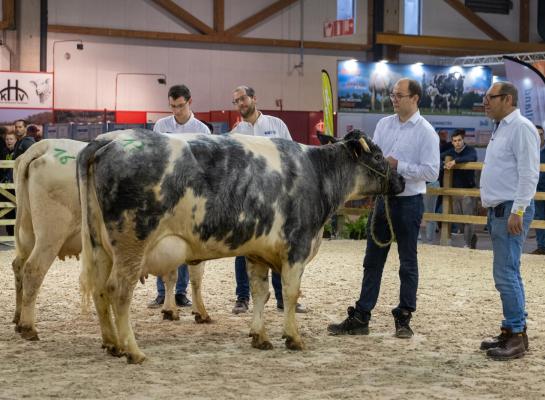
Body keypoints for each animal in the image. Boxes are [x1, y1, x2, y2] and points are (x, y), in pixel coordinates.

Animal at [77, 128, 404, 362]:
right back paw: (133, 351)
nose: (401, 180)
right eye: (377, 156)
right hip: (132, 242)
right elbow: (291, 293)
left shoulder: (258, 252)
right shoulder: (297, 246)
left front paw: (260, 336)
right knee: (119, 291)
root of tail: (108, 140)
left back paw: (112, 344)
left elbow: (262, 292)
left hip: (99, 247)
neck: (317, 174)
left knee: (100, 289)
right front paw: (294, 338)